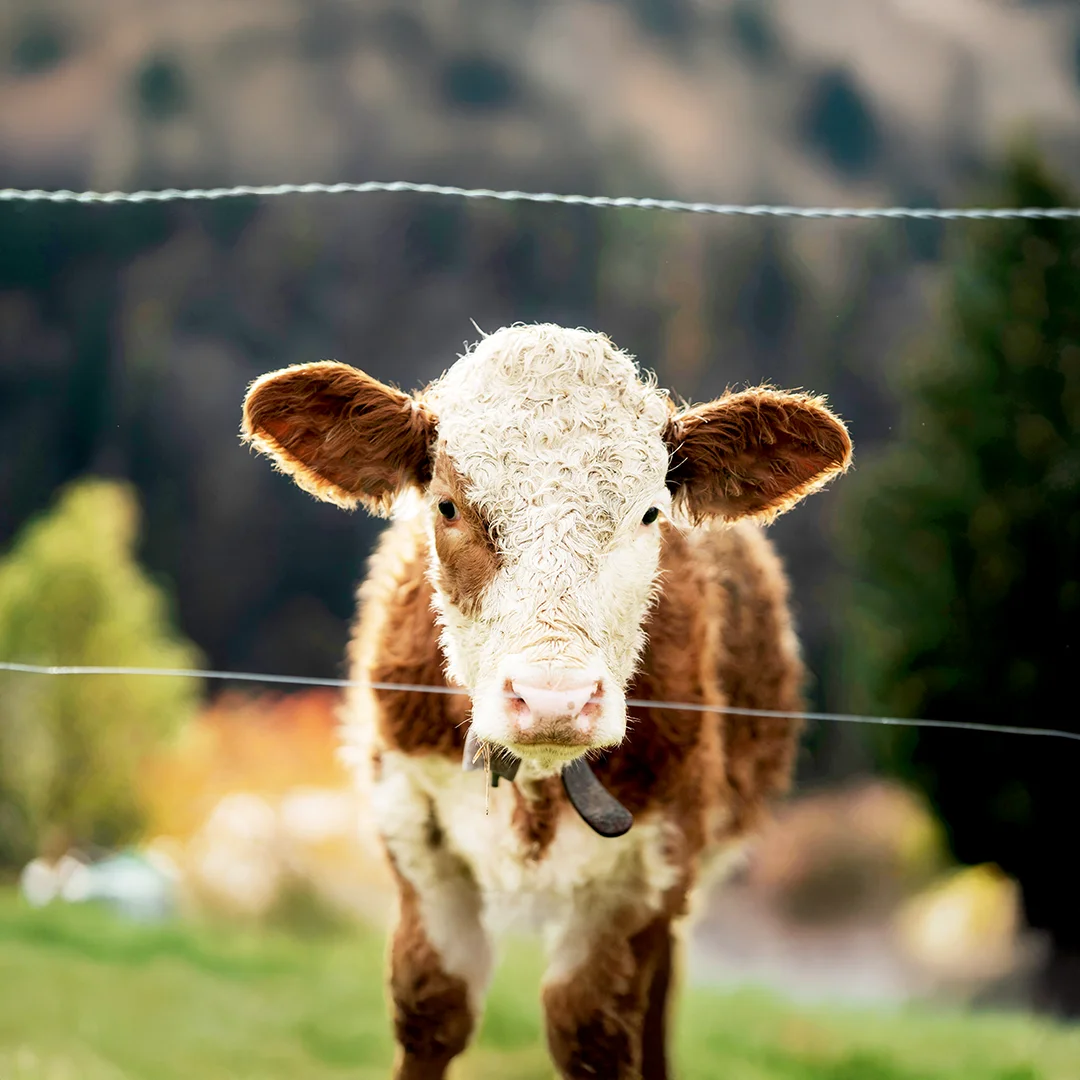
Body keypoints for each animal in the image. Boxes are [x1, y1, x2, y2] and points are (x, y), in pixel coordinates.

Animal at [240, 323, 852, 1080]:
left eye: (650, 512)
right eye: (448, 505)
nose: (552, 699)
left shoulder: (648, 868)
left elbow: (591, 1030)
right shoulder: (413, 833)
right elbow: (432, 1008)